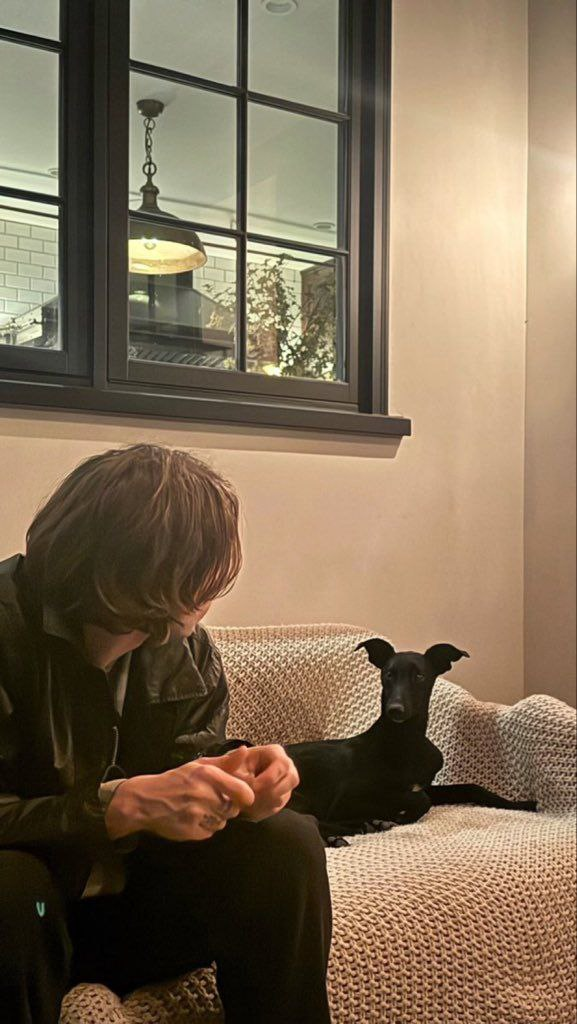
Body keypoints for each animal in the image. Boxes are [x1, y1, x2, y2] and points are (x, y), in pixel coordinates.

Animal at [286, 639, 536, 846]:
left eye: (419, 676)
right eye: (388, 674)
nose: (395, 709)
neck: (406, 740)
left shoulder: (426, 784)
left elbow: (470, 787)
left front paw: (522, 804)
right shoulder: (347, 796)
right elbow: (421, 799)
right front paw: (399, 816)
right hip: (300, 796)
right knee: (310, 819)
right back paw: (346, 832)